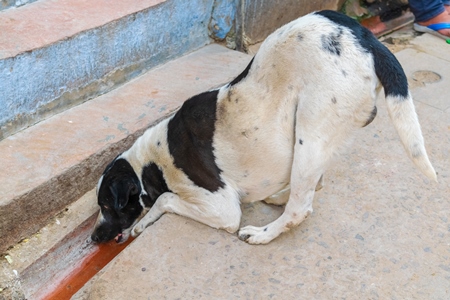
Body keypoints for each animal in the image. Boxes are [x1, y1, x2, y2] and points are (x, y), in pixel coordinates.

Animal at [90, 11, 436, 246]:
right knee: (315, 184)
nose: (93, 238)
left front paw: (142, 223)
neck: (152, 161)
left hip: (310, 134)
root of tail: (368, 38)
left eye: (106, 205)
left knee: (300, 209)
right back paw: (279, 197)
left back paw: (264, 233)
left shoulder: (222, 209)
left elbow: (164, 199)